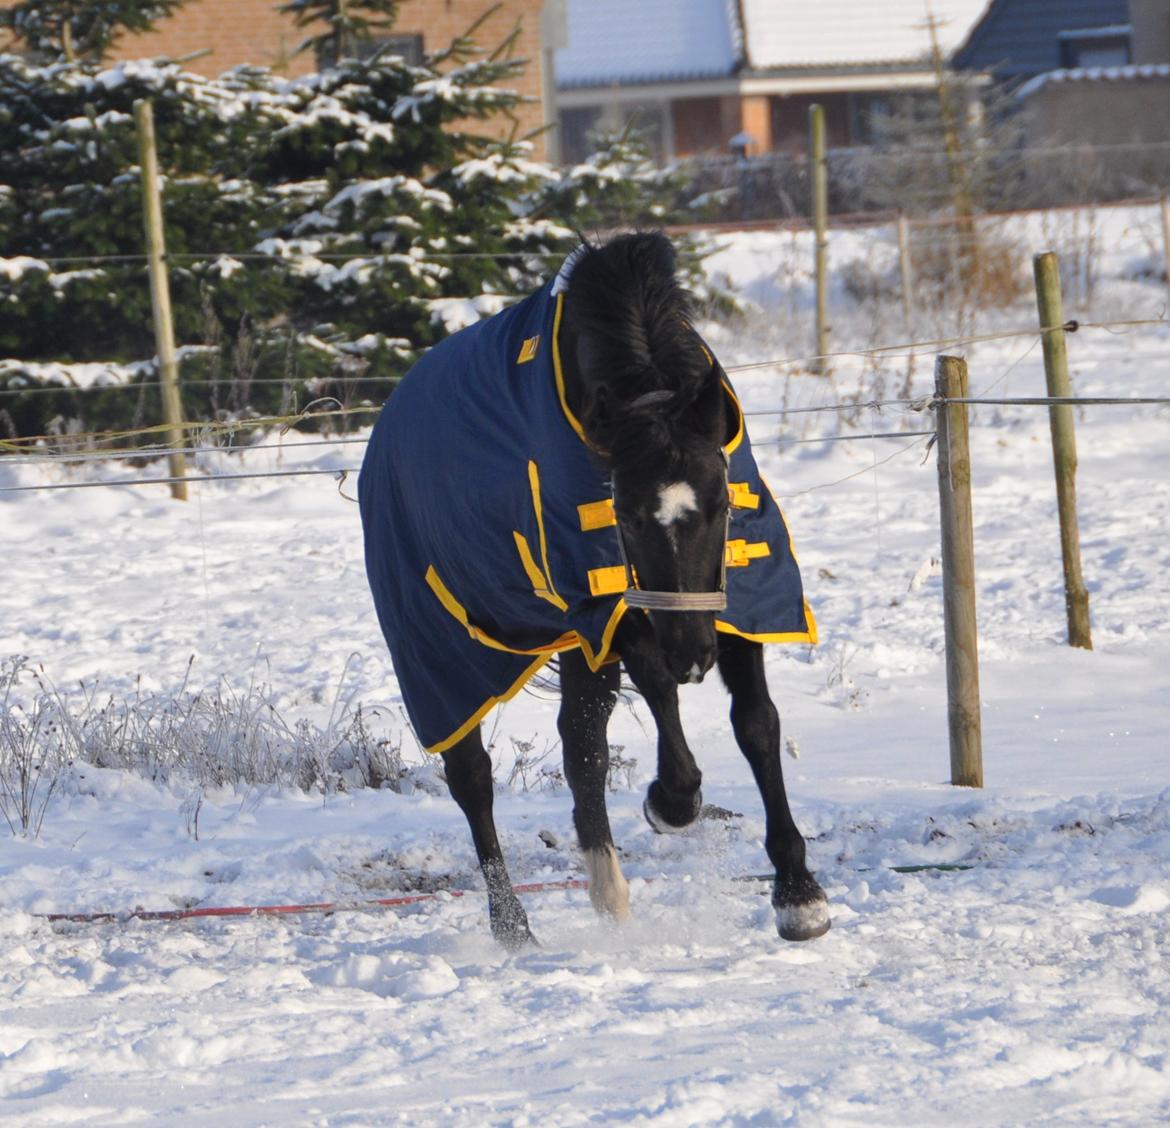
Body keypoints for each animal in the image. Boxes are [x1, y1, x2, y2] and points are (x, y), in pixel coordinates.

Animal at [360, 234, 828, 945]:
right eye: (625, 515)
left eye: (722, 505)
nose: (694, 656)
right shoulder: (606, 605)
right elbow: (660, 691)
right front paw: (673, 800)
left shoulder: (735, 602)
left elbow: (757, 724)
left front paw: (799, 892)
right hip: (441, 652)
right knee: (472, 778)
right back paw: (512, 927)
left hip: (575, 646)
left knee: (583, 749)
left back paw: (610, 896)